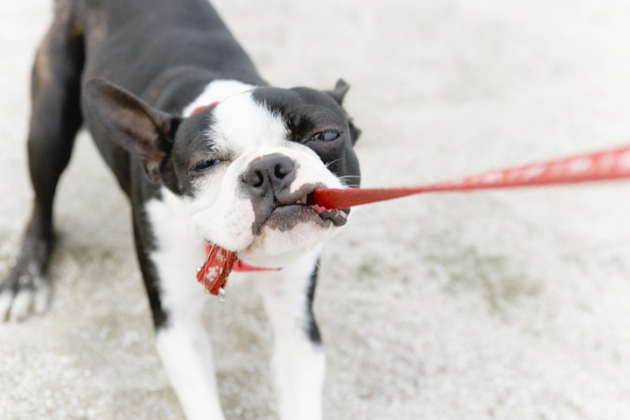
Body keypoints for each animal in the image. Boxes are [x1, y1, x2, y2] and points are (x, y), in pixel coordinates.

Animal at [0, 0, 362, 420]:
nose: (268, 168)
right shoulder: (177, 326)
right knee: (41, 203)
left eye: (326, 134)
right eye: (205, 163)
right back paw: (24, 280)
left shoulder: (297, 324)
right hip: (49, 124)